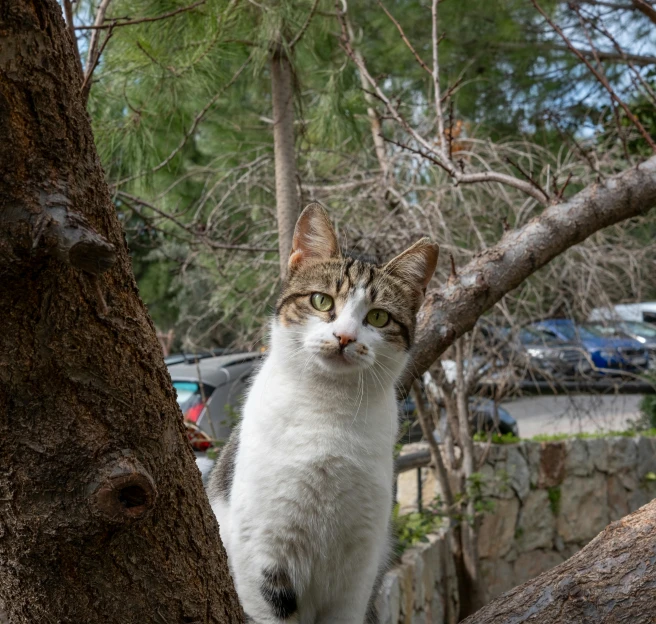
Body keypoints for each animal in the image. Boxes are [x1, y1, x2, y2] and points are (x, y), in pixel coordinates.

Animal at [208, 205, 438, 624]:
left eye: (378, 318)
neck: (328, 409)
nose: (345, 337)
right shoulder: (262, 554)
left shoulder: (359, 567)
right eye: (320, 300)